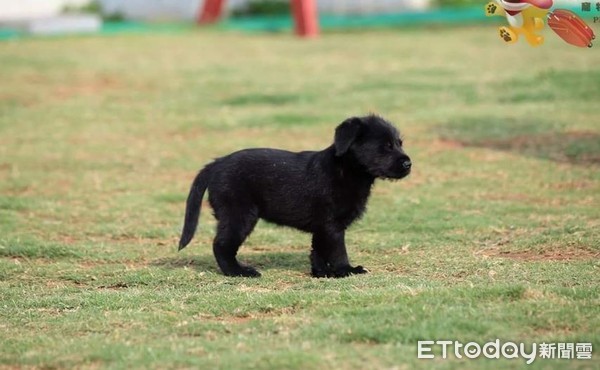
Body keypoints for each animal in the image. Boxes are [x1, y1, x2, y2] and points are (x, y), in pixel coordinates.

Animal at [178, 115, 410, 278]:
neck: (346, 170)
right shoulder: (332, 225)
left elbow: (318, 250)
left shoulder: (323, 227)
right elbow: (338, 252)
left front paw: (322, 273)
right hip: (239, 215)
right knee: (221, 245)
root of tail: (217, 163)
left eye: (399, 143)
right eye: (386, 146)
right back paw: (239, 272)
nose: (409, 163)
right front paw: (346, 270)